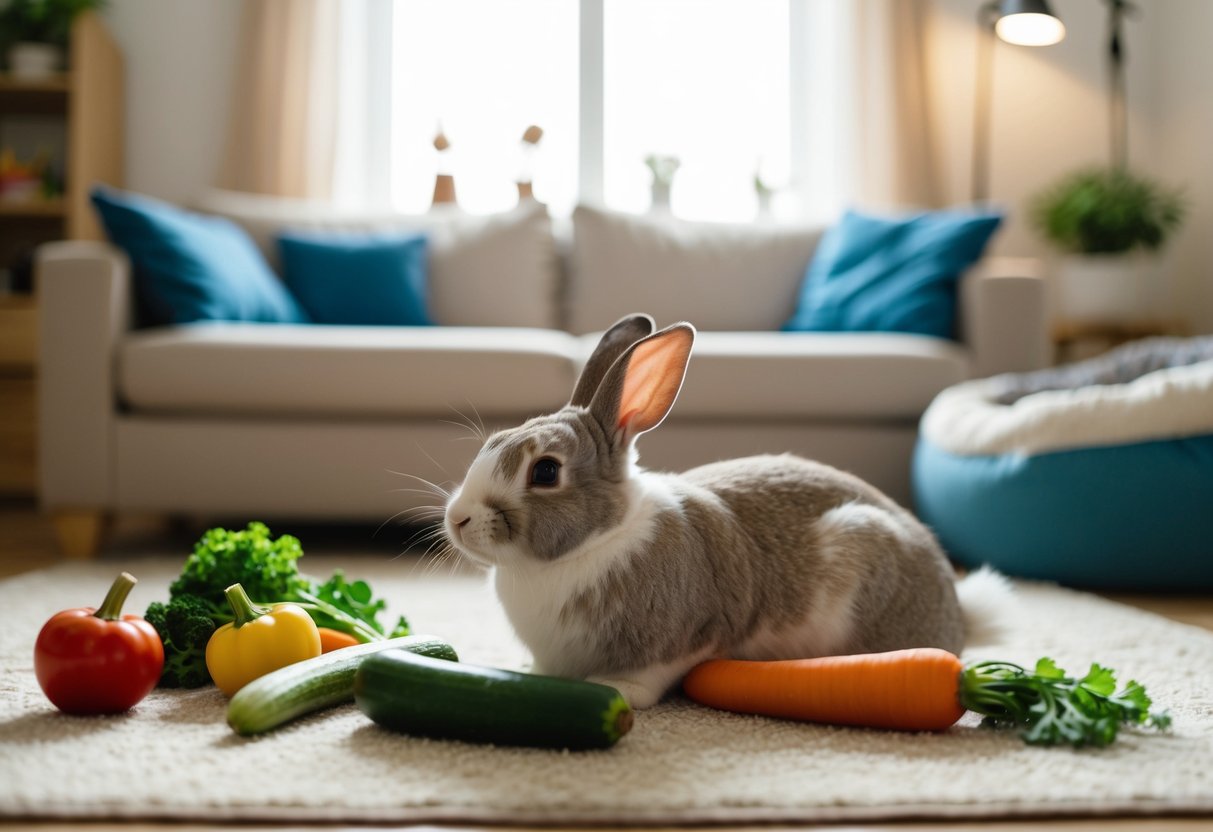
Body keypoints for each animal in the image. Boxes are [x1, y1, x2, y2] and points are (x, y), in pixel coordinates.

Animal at [444, 313, 1004, 709]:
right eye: (495, 441)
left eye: (544, 472)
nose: (457, 520)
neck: (596, 541)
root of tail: (956, 615)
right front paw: (529, 678)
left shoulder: (687, 639)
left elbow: (649, 676)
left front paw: (617, 693)